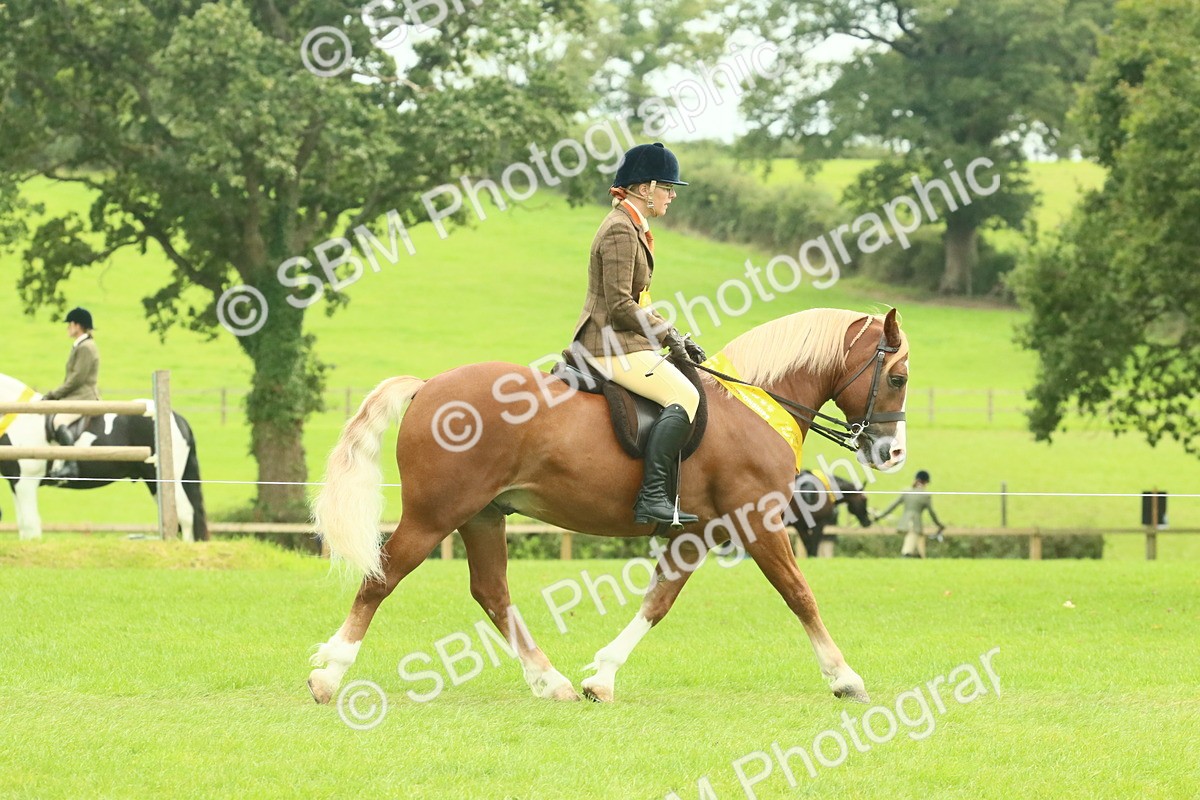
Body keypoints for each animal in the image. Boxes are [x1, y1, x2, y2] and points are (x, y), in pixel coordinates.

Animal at [0, 372, 208, 542]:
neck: (19, 417)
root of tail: (177, 418)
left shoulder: (26, 481)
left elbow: (30, 525)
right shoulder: (16, 483)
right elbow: (24, 526)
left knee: (185, 515)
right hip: (154, 482)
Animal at [307, 307, 909, 705]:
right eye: (898, 377)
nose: (892, 453)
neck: (756, 405)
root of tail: (429, 385)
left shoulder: (695, 534)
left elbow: (658, 601)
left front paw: (601, 677)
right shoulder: (758, 522)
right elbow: (800, 595)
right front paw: (845, 678)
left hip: (483, 515)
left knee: (492, 593)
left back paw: (551, 683)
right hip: (437, 514)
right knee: (383, 577)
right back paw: (328, 676)